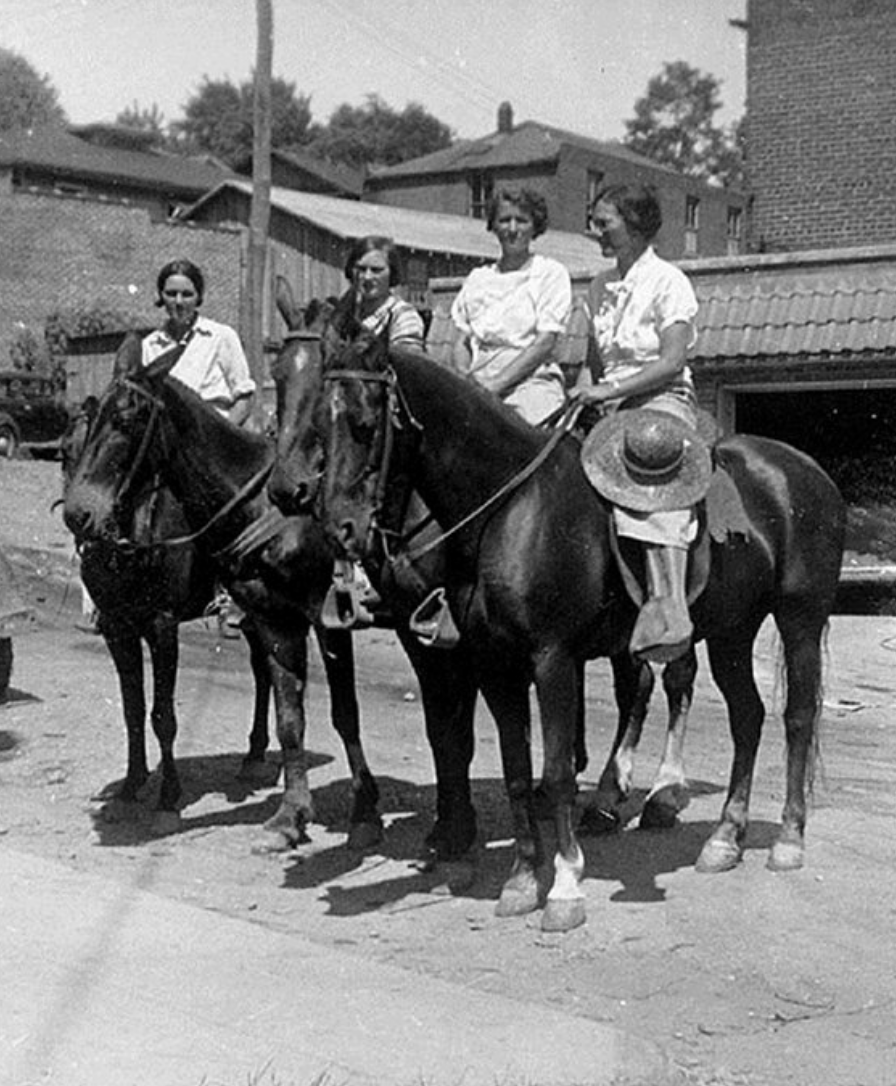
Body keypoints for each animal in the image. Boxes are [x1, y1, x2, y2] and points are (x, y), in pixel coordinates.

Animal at [59, 393, 272, 829]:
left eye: (120, 450)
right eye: (64, 453)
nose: (80, 519)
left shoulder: (162, 628)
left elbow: (163, 717)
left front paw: (168, 797)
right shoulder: (118, 629)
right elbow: (133, 710)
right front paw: (131, 785)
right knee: (262, 669)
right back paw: (255, 754)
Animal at [310, 332, 842, 933]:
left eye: (365, 422)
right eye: (318, 422)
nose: (339, 528)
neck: (512, 509)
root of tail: (804, 470)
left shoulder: (553, 659)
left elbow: (559, 771)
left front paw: (564, 888)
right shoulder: (496, 664)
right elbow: (517, 771)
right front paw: (521, 881)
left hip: (800, 620)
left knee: (797, 718)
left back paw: (787, 840)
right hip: (733, 630)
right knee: (747, 717)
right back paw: (725, 839)